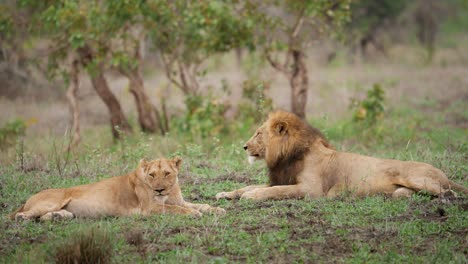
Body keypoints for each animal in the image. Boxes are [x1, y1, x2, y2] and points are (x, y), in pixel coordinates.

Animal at [10, 157, 224, 221]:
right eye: (152, 175)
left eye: (167, 173)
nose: (159, 190)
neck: (169, 191)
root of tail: (27, 200)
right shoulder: (149, 209)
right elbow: (175, 209)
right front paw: (193, 213)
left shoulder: (179, 200)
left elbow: (201, 204)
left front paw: (217, 209)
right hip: (51, 201)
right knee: (19, 216)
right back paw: (22, 218)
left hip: (63, 210)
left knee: (45, 217)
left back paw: (56, 217)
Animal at [216, 110, 468, 200]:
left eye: (258, 133)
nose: (244, 147)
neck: (287, 156)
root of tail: (443, 174)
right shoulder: (282, 178)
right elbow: (248, 186)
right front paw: (226, 193)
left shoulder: (311, 189)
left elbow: (275, 191)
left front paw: (252, 196)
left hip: (417, 177)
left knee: (446, 191)